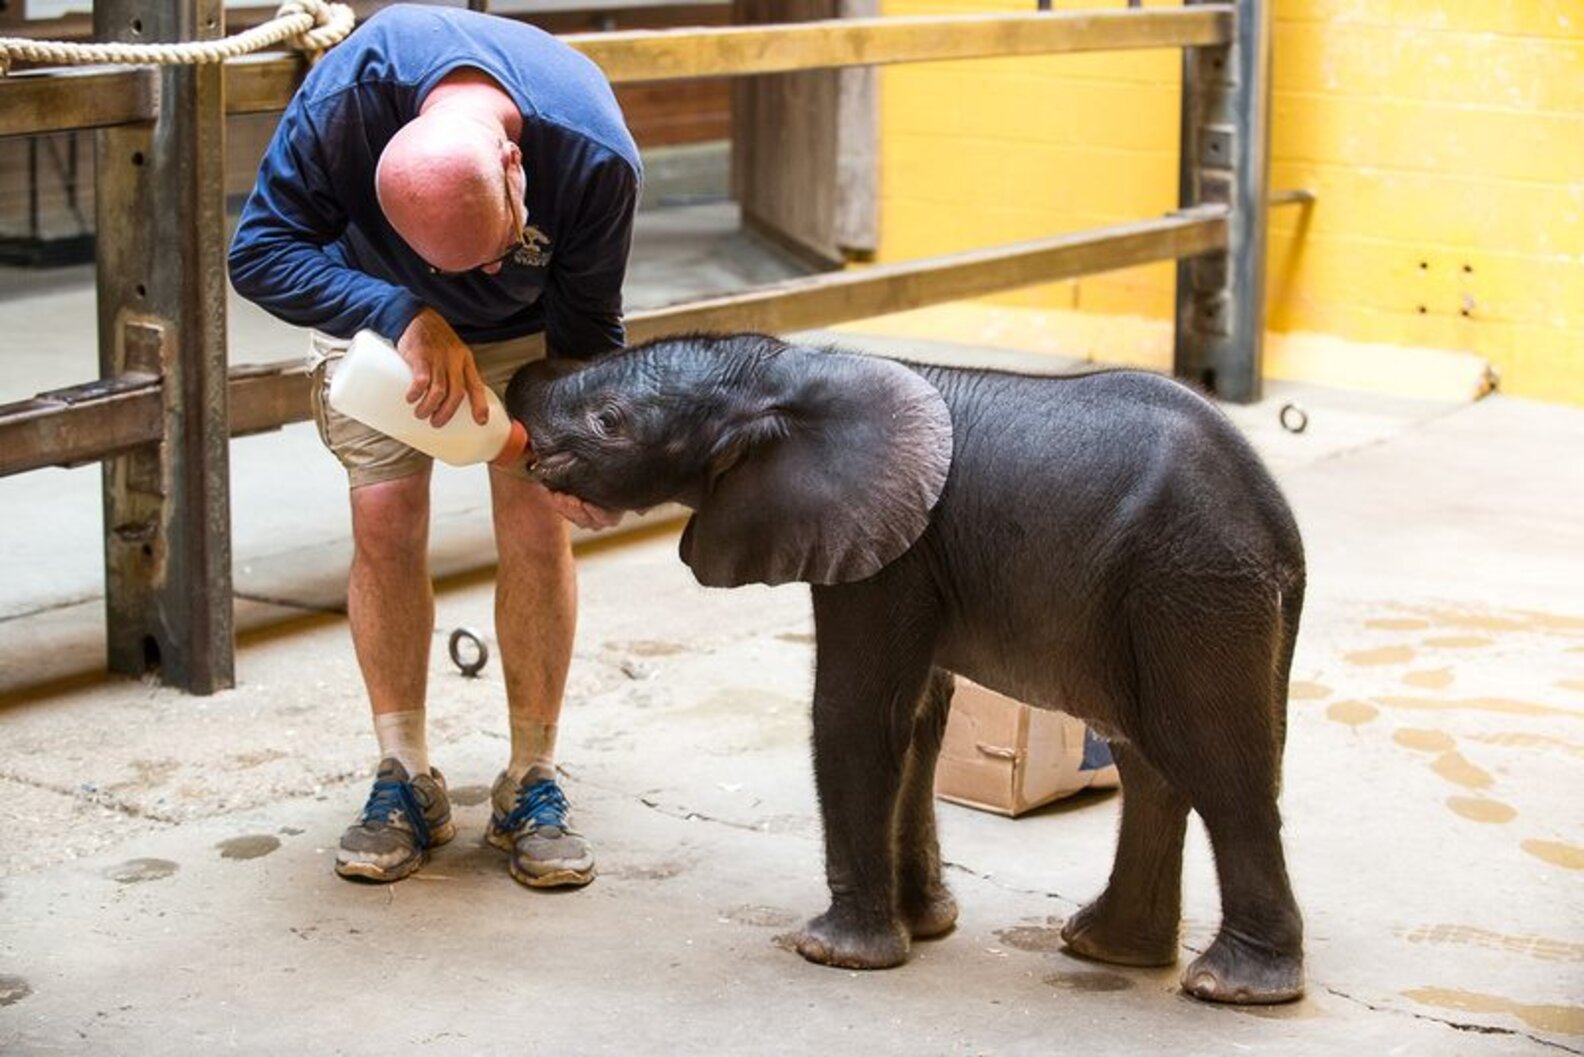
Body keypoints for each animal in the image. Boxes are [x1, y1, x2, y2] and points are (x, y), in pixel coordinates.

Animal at [506, 332, 1307, 1005]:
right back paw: (1105, 948)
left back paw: (1232, 987)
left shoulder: (889, 551)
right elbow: (921, 720)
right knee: (1151, 764)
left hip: (1192, 586)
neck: (782, 371)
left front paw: (833, 953)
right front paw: (926, 928)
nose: (517, 372)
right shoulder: (905, 550)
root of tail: (1282, 531)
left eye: (609, 420)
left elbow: (856, 713)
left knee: (1214, 761)